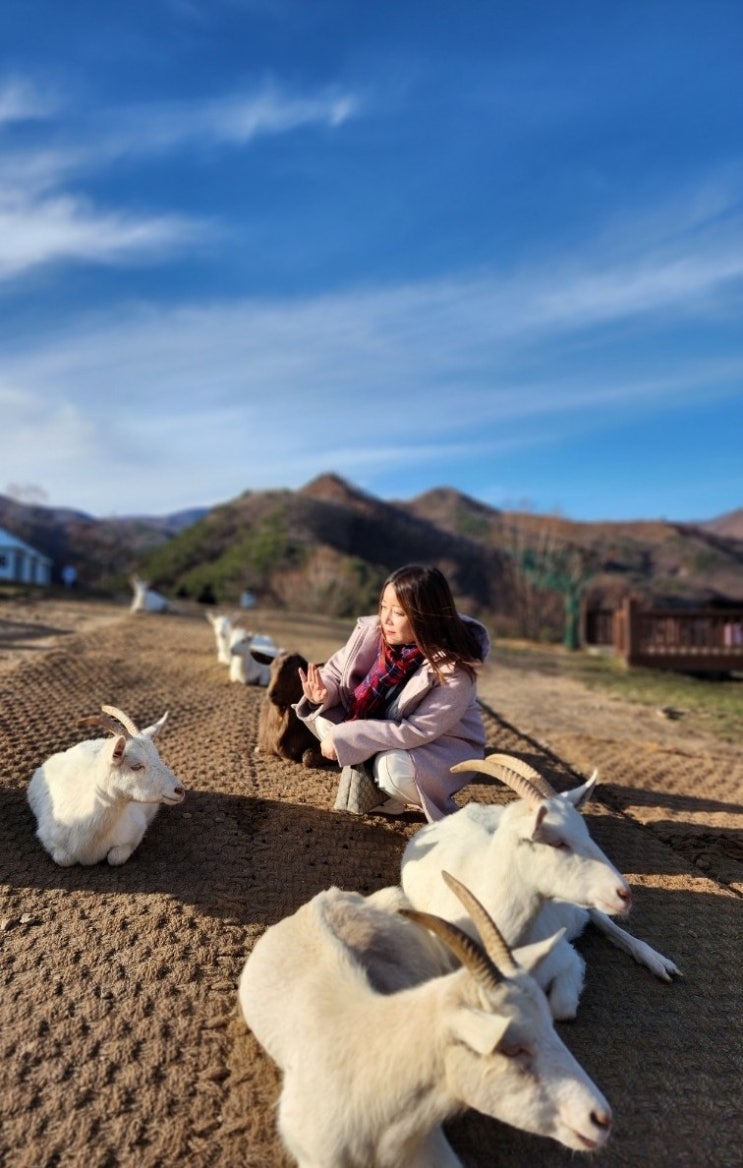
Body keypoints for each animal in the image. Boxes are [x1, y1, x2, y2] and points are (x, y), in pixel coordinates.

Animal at [28, 700, 185, 868]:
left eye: (158, 756)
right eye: (136, 766)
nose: (179, 790)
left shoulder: (136, 830)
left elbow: (115, 858)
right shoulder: (47, 836)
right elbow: (65, 860)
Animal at [399, 752, 677, 1018]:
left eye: (586, 833)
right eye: (556, 842)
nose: (624, 894)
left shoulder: (565, 954)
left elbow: (562, 1006)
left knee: (601, 919)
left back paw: (660, 963)